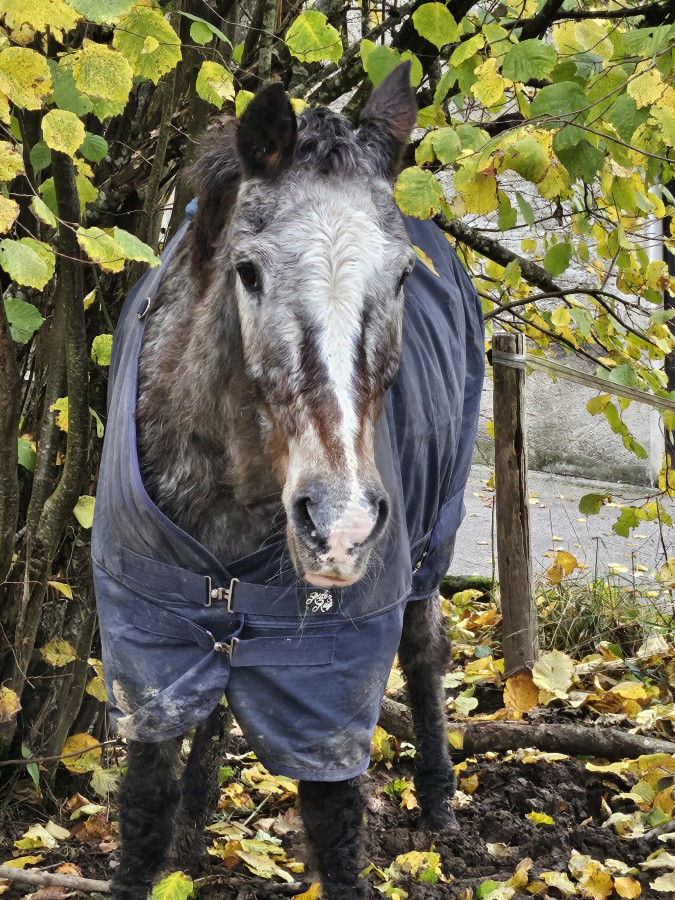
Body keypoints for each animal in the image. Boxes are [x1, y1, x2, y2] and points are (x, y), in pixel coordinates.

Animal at [91, 63, 485, 900]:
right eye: (247, 270)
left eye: (401, 276)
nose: (339, 527)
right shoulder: (151, 645)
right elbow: (143, 805)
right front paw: (170, 840)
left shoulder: (329, 676)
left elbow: (335, 825)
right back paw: (195, 829)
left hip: (431, 544)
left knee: (426, 651)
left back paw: (439, 800)